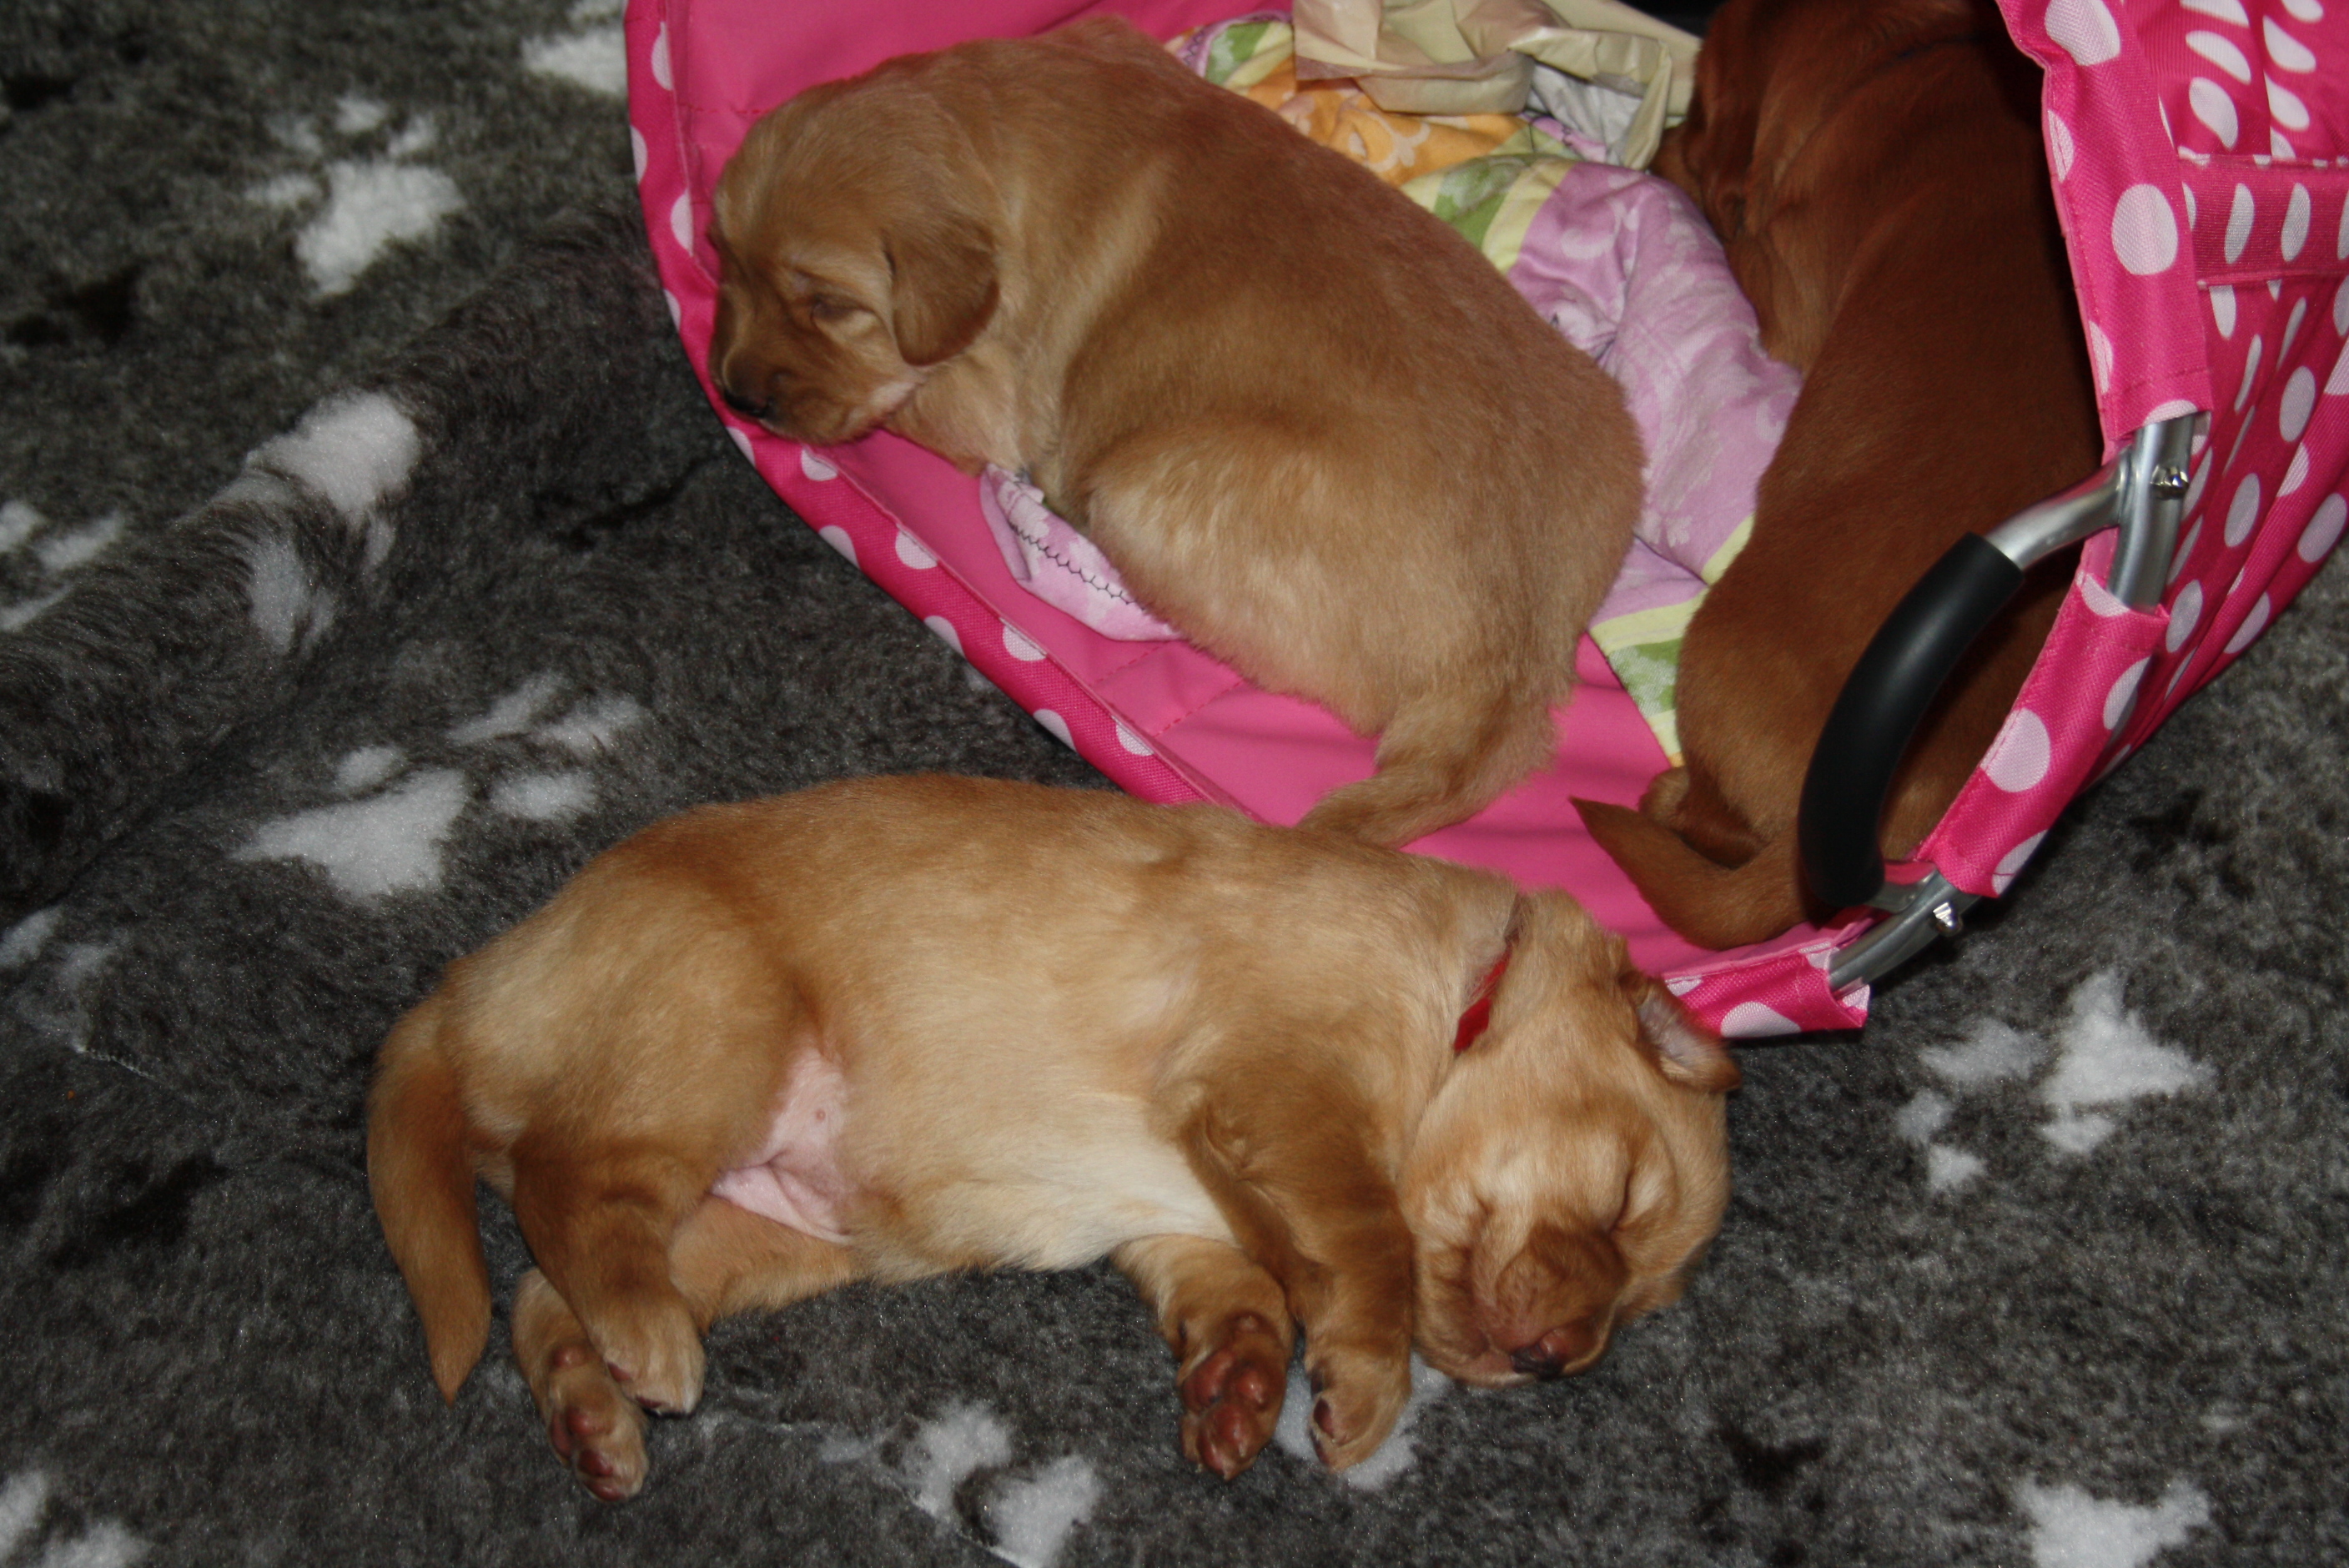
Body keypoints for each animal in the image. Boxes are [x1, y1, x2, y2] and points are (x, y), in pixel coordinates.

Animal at [368, 775, 1737, 1499]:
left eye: (1639, 1301)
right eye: (1624, 1195)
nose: (1556, 1360)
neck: (1454, 994)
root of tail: (475, 985)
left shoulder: (1186, 1208)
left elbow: (1244, 1285)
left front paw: (1239, 1389)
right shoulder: (1278, 1076)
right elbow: (1370, 1243)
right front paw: (1360, 1391)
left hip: (766, 1230)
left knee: (541, 1288)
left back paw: (592, 1412)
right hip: (713, 1021)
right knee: (563, 1182)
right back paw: (646, 1347)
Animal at [705, 18, 1644, 850]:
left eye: (829, 304)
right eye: (722, 260)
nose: (735, 395)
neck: (982, 121)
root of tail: (1503, 672)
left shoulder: (990, 401)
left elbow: (911, 398)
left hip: (1140, 494)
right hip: (1607, 420)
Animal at [1578, 0, 2102, 947]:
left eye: (1699, 105)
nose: (1661, 137)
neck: (1909, 57)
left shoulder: (1781, 290)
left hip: (1707, 653)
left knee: (1713, 823)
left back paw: (1668, 796)